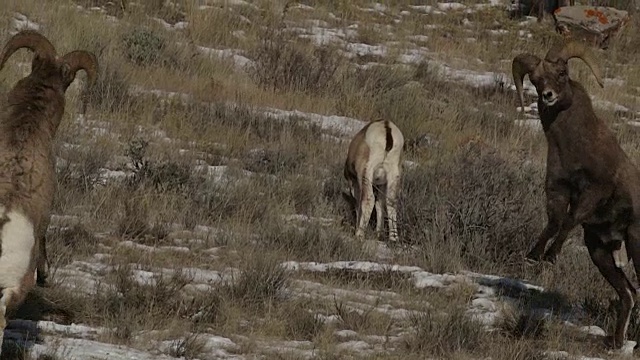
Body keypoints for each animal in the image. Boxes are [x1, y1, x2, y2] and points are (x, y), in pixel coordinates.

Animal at [512, 41, 640, 348]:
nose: (547, 96)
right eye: (535, 79)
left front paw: (551, 256)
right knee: (629, 295)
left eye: (561, 73)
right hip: (601, 254)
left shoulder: (592, 194)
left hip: (636, 244)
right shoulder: (558, 191)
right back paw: (616, 344)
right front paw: (535, 256)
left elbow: (568, 221)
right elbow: (554, 223)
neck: (575, 146)